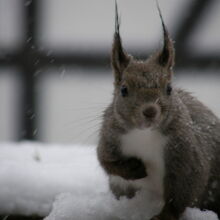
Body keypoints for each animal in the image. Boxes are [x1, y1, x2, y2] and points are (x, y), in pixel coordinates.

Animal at [97, 2, 220, 220]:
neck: (143, 134)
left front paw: (164, 216)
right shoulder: (110, 135)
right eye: (123, 90)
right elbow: (105, 159)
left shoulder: (186, 155)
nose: (150, 111)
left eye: (169, 88)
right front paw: (134, 168)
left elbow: (183, 190)